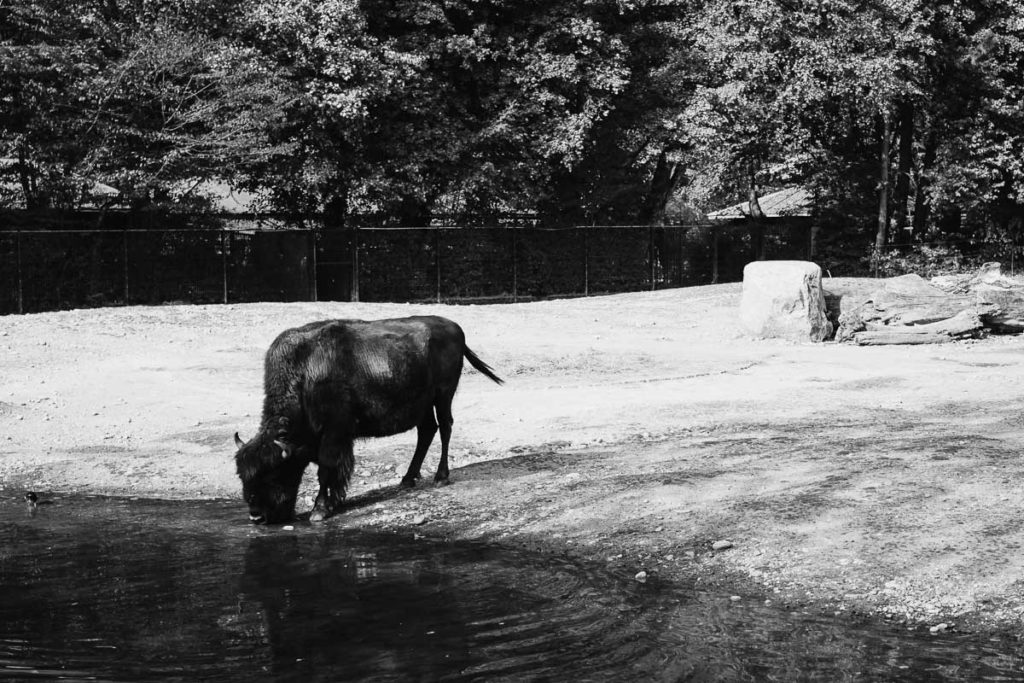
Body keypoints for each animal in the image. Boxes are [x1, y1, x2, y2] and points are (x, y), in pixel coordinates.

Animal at [233, 316, 503, 524]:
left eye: (273, 473)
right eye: (242, 476)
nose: (256, 517)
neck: (304, 374)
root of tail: (455, 328)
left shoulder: (333, 435)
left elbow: (326, 470)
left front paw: (319, 510)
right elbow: (334, 473)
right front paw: (334, 503)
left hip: (443, 395)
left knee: (445, 427)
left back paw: (440, 477)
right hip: (424, 405)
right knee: (427, 431)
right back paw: (407, 479)